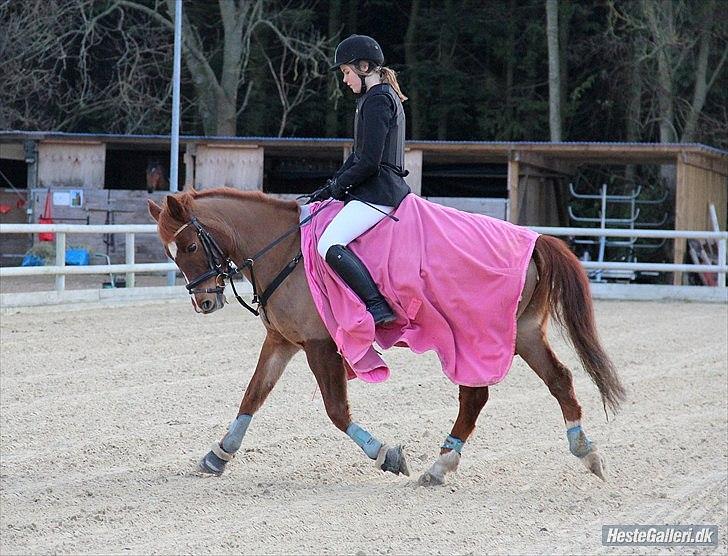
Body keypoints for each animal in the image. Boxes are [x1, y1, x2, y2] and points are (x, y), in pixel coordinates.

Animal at [148, 189, 624, 484]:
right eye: (170, 252)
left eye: (189, 247)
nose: (204, 302)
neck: (281, 250)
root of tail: (533, 240)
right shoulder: (282, 341)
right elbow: (251, 396)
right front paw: (218, 454)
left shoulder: (320, 344)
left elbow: (336, 411)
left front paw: (386, 455)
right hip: (523, 333)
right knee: (558, 379)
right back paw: (584, 451)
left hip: (475, 333)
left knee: (477, 396)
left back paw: (441, 464)